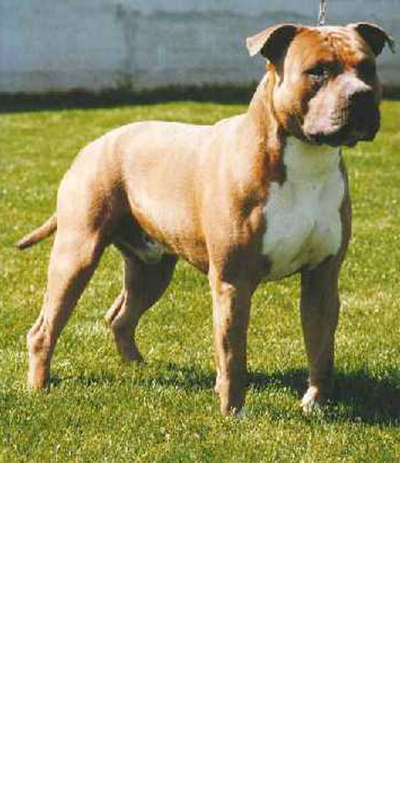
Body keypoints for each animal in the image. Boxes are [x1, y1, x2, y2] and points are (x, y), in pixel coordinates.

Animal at [17, 22, 394, 415]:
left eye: (368, 68)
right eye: (318, 71)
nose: (363, 96)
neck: (305, 161)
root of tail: (93, 145)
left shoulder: (322, 277)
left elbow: (321, 349)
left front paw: (316, 404)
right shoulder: (233, 281)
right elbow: (232, 355)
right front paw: (233, 412)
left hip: (151, 268)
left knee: (120, 316)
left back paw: (136, 366)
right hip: (77, 254)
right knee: (45, 327)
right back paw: (39, 386)